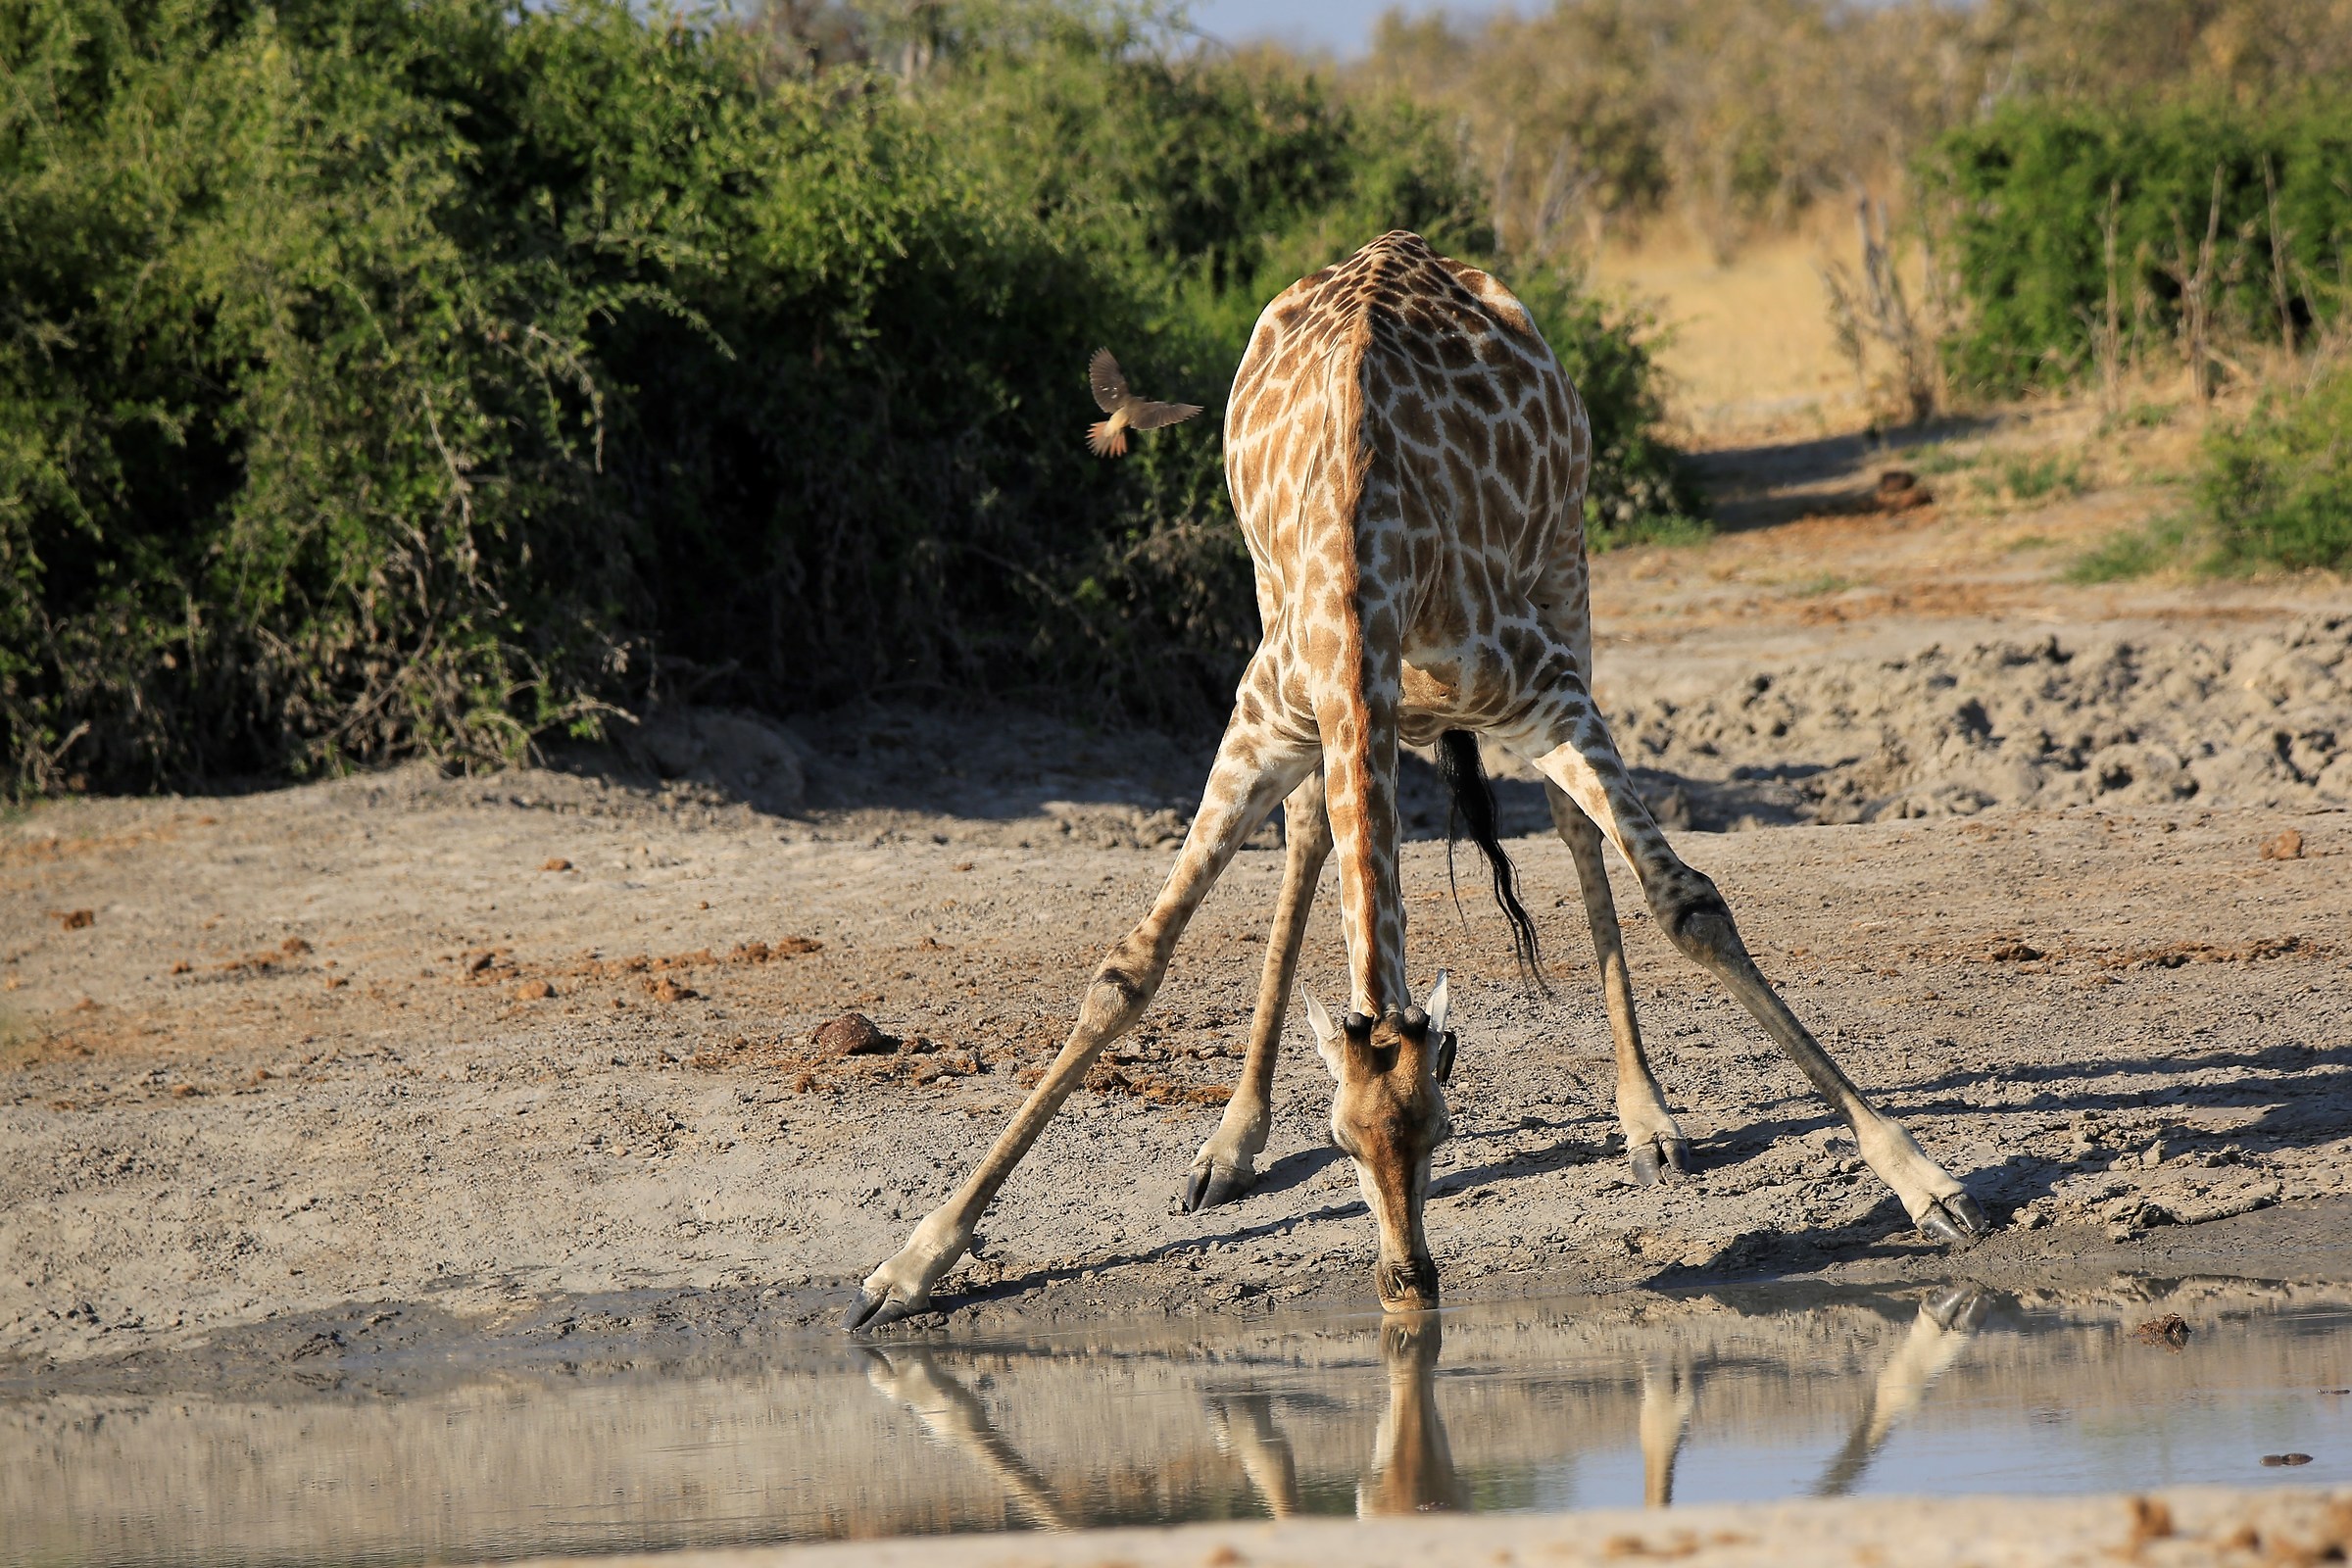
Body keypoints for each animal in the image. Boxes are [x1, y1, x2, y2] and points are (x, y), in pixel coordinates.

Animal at [843, 230, 1989, 1331]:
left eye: (1441, 1133)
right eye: (1345, 1141)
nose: (1409, 1280)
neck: (1366, 559)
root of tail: (1403, 244)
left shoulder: (1544, 691)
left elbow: (1690, 905)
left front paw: (1925, 1181)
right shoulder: (1266, 717)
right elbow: (1129, 968)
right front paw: (909, 1264)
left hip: (1567, 566)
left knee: (1572, 826)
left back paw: (1648, 1121)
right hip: (1285, 625)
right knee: (1313, 833)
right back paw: (1230, 1143)